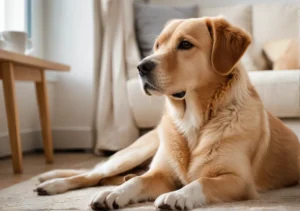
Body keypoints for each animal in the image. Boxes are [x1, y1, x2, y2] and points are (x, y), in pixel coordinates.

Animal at [34, 17, 298, 210]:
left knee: (101, 176)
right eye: (157, 46)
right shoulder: (162, 173)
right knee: (92, 175)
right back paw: (54, 184)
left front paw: (178, 196)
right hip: (134, 153)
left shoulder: (239, 180)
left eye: (185, 44)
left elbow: (201, 181)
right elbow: (139, 180)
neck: (192, 119)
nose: (141, 67)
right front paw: (116, 193)